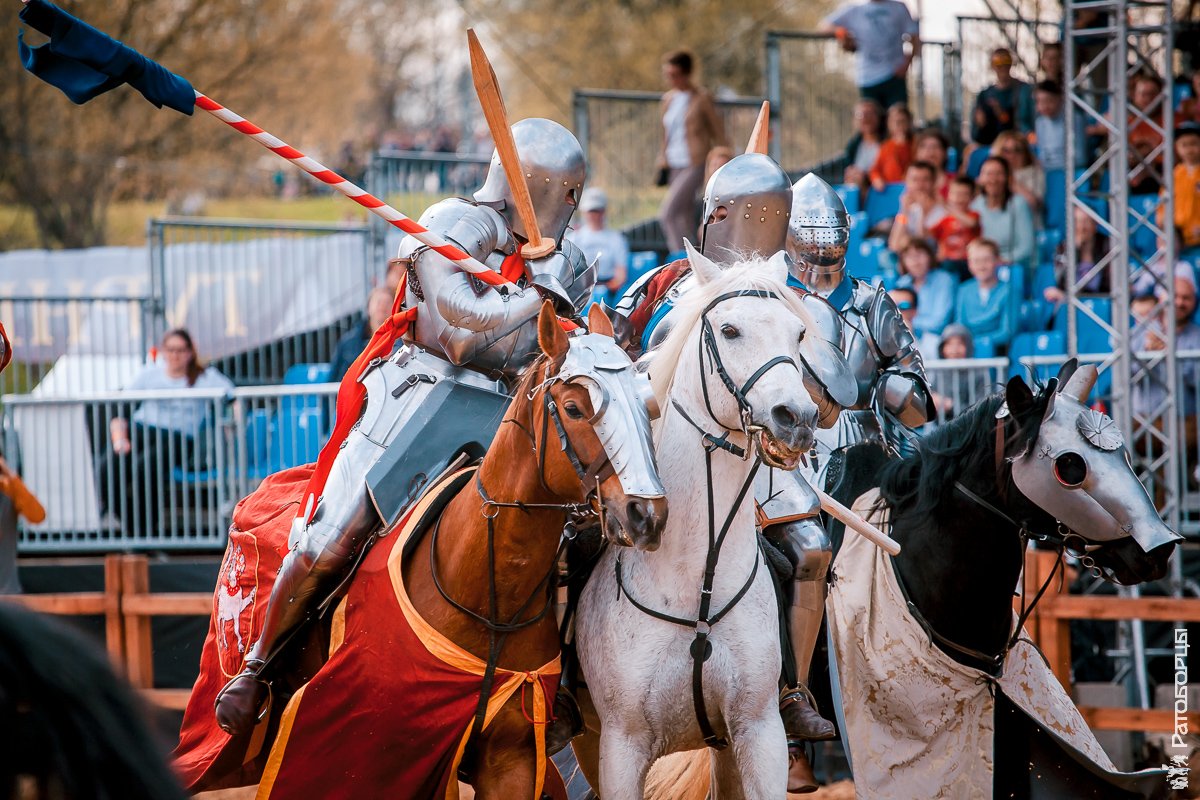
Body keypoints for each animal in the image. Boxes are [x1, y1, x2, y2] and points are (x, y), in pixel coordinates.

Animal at [242, 302, 667, 800]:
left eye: (645, 404)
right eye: (574, 408)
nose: (646, 514)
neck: (487, 595)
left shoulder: (511, 761)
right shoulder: (376, 747)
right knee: (321, 548)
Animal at [576, 245, 820, 800]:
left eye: (798, 334)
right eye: (729, 330)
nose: (796, 418)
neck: (696, 578)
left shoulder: (756, 732)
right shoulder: (621, 745)